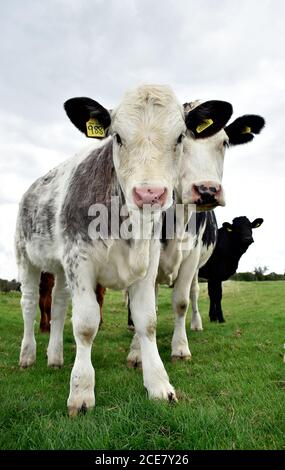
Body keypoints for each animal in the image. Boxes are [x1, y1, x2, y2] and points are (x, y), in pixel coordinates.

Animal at [15, 85, 232, 414]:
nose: (150, 193)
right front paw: (81, 391)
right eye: (116, 136)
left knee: (58, 305)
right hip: (25, 257)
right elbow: (85, 325)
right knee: (29, 305)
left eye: (180, 137)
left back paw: (55, 357)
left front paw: (159, 384)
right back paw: (27, 355)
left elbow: (148, 321)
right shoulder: (80, 261)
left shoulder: (146, 265)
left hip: (60, 268)